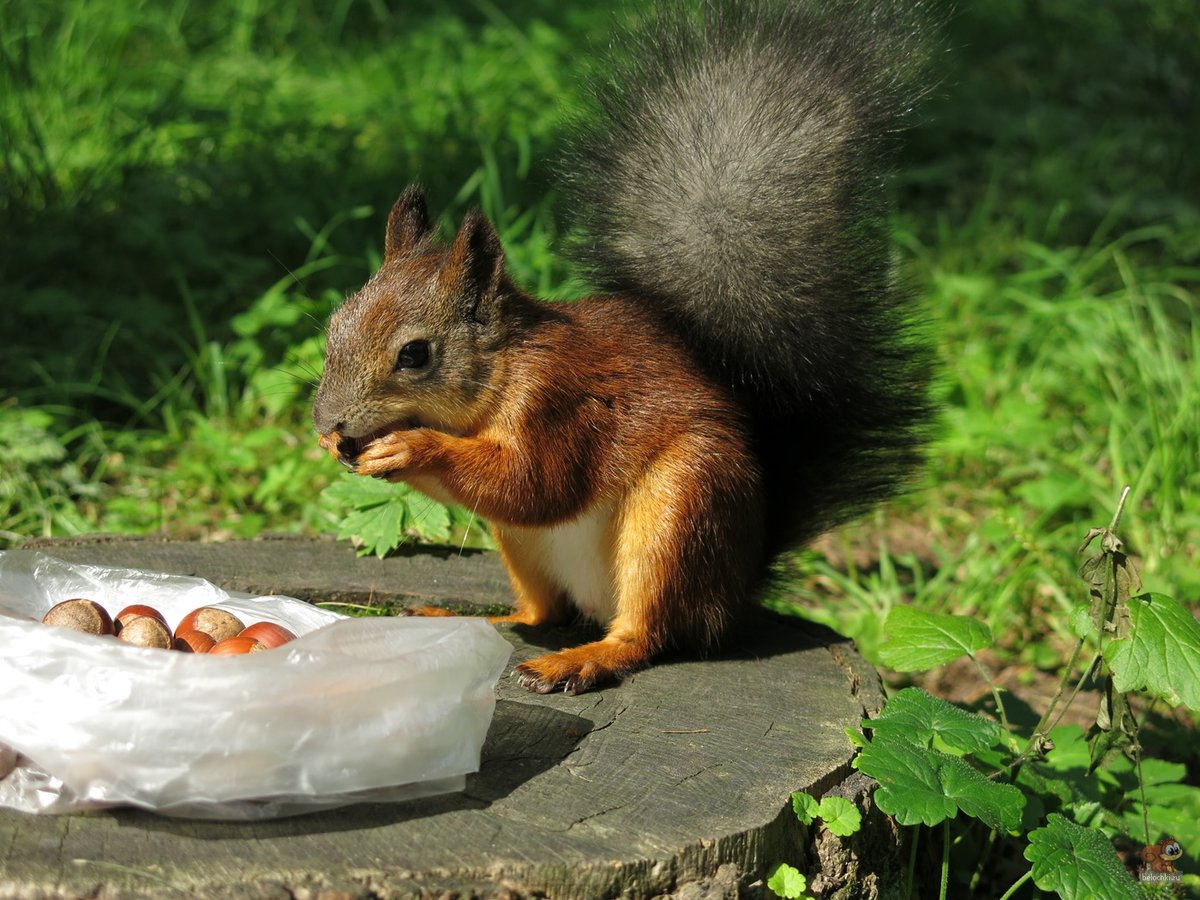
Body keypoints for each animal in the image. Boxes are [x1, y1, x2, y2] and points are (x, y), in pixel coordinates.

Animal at [309, 0, 936, 696]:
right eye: (335, 324)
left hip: (681, 509)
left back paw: (583, 658)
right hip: (526, 547)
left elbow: (538, 484)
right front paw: (340, 449)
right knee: (543, 612)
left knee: (647, 632)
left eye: (415, 355)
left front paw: (410, 446)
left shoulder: (559, 402)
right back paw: (465, 618)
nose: (327, 422)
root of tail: (738, 585)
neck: (504, 366)